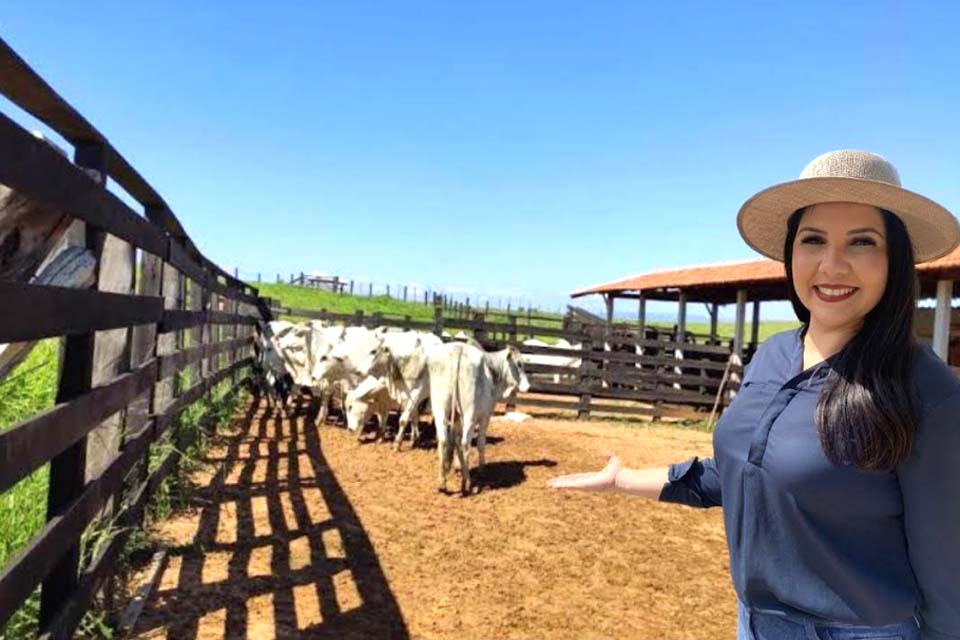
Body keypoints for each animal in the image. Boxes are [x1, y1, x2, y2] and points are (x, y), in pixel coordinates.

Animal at [430, 342, 532, 492]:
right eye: (519, 364)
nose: (528, 386)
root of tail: (458, 349)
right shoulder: (486, 417)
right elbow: (480, 443)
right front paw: (481, 469)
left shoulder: (457, 419)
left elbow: (456, 441)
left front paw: (458, 467)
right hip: (469, 415)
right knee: (465, 443)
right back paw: (467, 483)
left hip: (440, 409)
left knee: (443, 440)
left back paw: (442, 482)